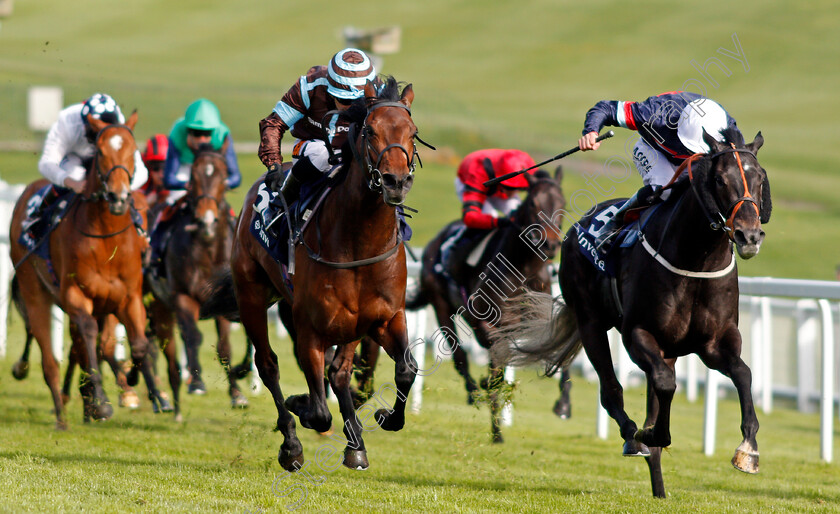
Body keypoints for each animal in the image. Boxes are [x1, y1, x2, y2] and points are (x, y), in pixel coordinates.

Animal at [9, 112, 160, 424]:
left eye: (133, 152)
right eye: (100, 152)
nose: (118, 197)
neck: (106, 239)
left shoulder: (127, 297)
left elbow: (137, 344)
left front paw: (142, 388)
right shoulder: (76, 294)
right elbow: (89, 336)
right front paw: (100, 401)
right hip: (34, 289)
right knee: (51, 349)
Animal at [201, 77, 424, 468]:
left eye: (412, 132)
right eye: (370, 130)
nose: (395, 182)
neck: (359, 242)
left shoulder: (385, 317)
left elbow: (405, 369)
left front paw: (384, 418)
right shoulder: (311, 327)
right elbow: (318, 410)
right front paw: (300, 407)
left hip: (341, 322)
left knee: (339, 373)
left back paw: (355, 444)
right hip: (252, 294)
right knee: (269, 364)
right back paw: (292, 442)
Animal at [496, 128, 772, 496]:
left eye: (760, 179)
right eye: (720, 179)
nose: (749, 235)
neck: (696, 260)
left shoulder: (715, 343)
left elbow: (743, 374)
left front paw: (748, 450)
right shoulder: (637, 333)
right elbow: (664, 387)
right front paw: (650, 433)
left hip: (666, 349)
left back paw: (659, 487)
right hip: (591, 322)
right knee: (612, 392)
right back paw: (633, 436)